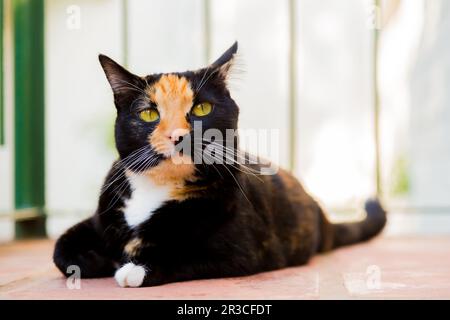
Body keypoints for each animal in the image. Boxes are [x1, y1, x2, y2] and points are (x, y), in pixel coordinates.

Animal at [51, 42, 384, 288]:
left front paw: (133, 267)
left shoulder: (243, 250)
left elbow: (184, 250)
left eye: (202, 108)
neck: (156, 189)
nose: (178, 135)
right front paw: (99, 258)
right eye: (149, 114)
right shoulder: (103, 214)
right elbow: (61, 251)